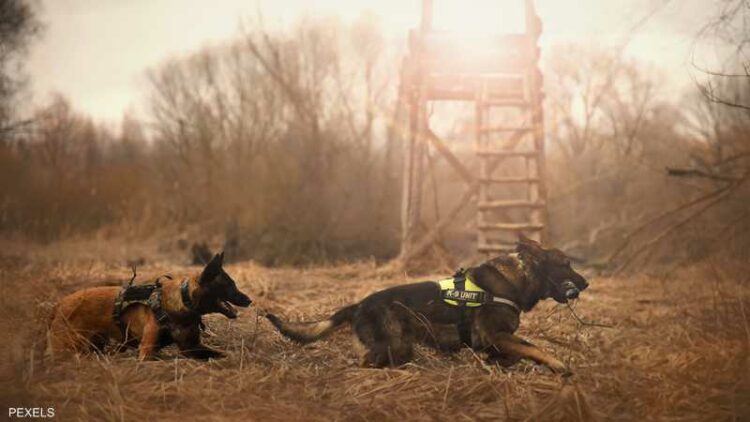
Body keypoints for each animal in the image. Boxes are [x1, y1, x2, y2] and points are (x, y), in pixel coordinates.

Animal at [47, 252, 253, 362]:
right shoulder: (146, 351)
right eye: (229, 285)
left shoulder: (192, 347)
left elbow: (220, 353)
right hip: (69, 347)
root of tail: (59, 304)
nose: (250, 300)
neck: (182, 302)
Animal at [268, 236, 592, 374]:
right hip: (392, 345)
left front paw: (498, 363)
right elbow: (533, 347)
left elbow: (517, 351)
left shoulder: (495, 340)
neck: (518, 279)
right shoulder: (493, 335)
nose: (587, 283)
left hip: (401, 347)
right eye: (566, 264)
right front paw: (558, 365)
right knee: (365, 363)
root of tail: (359, 304)